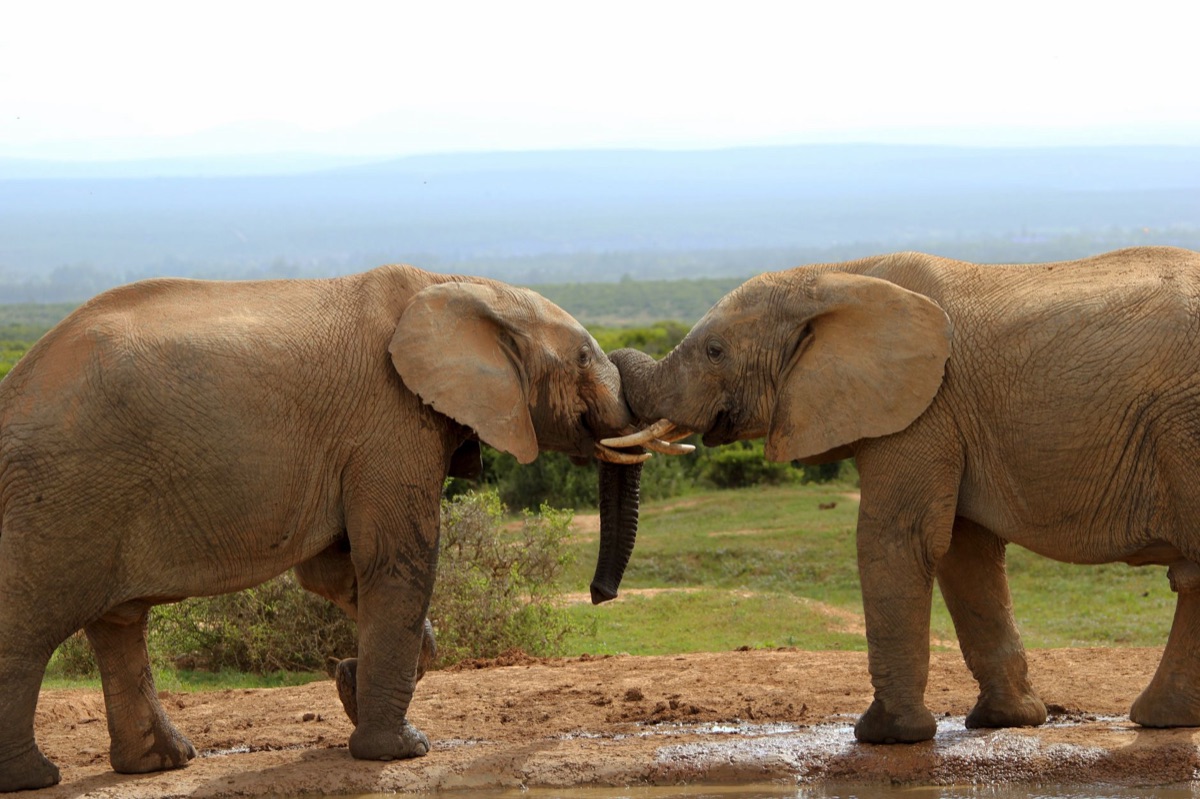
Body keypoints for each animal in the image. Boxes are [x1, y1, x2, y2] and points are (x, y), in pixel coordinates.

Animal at [0, 265, 673, 792]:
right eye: (583, 358)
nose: (600, 595)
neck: (463, 285)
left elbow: (333, 571)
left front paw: (349, 685)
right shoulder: (390, 421)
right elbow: (398, 562)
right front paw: (401, 751)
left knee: (119, 624)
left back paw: (162, 763)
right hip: (61, 492)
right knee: (31, 627)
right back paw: (35, 777)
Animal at [606, 245, 1200, 744]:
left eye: (715, 351)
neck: (839, 275)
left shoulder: (923, 406)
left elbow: (896, 539)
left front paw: (884, 736)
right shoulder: (946, 416)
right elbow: (965, 552)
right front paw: (1003, 722)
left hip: (1182, 423)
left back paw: (1159, 719)